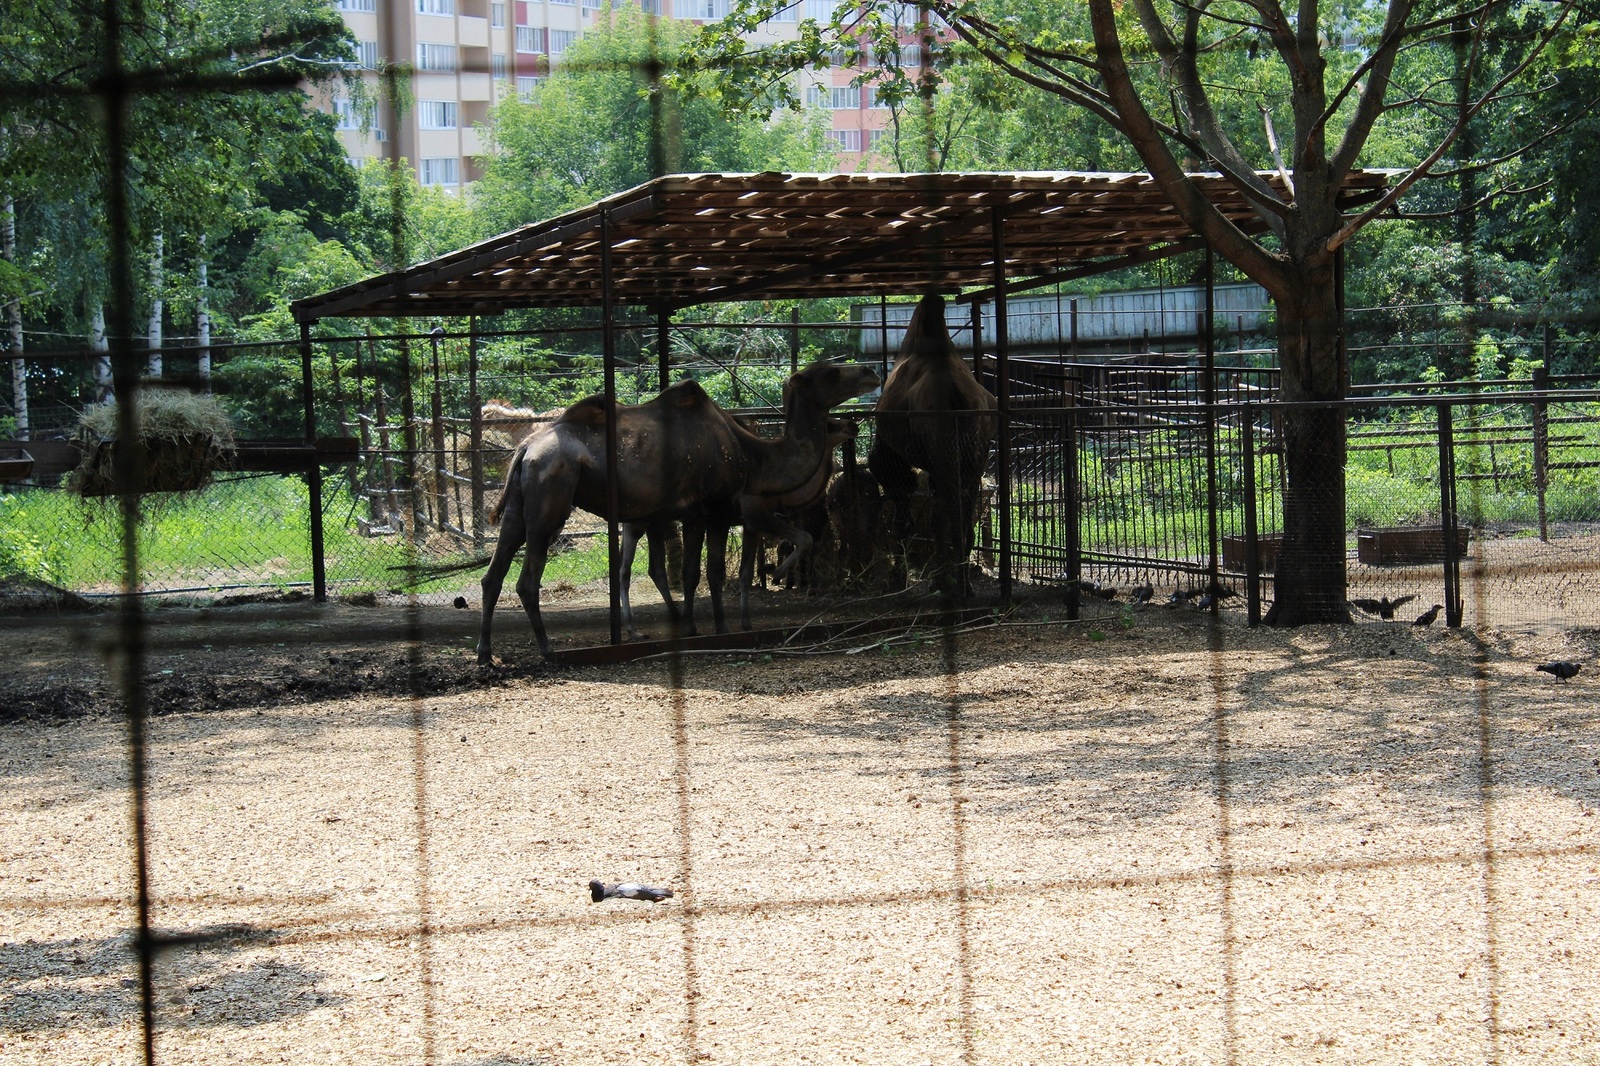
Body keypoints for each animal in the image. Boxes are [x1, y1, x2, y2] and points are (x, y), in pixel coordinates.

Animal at [476, 356, 876, 656]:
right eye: (831, 373)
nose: (870, 372)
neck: (753, 456)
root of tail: (525, 449)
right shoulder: (718, 510)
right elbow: (715, 571)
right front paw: (726, 625)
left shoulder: (693, 514)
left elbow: (690, 573)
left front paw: (692, 627)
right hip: (551, 490)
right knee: (528, 578)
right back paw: (547, 649)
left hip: (523, 499)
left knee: (494, 572)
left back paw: (486, 654)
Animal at [870, 292, 992, 589]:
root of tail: (956, 394)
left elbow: (912, 520)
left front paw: (898, 577)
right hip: (975, 457)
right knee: (962, 513)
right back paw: (960, 580)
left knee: (951, 513)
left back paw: (952, 583)